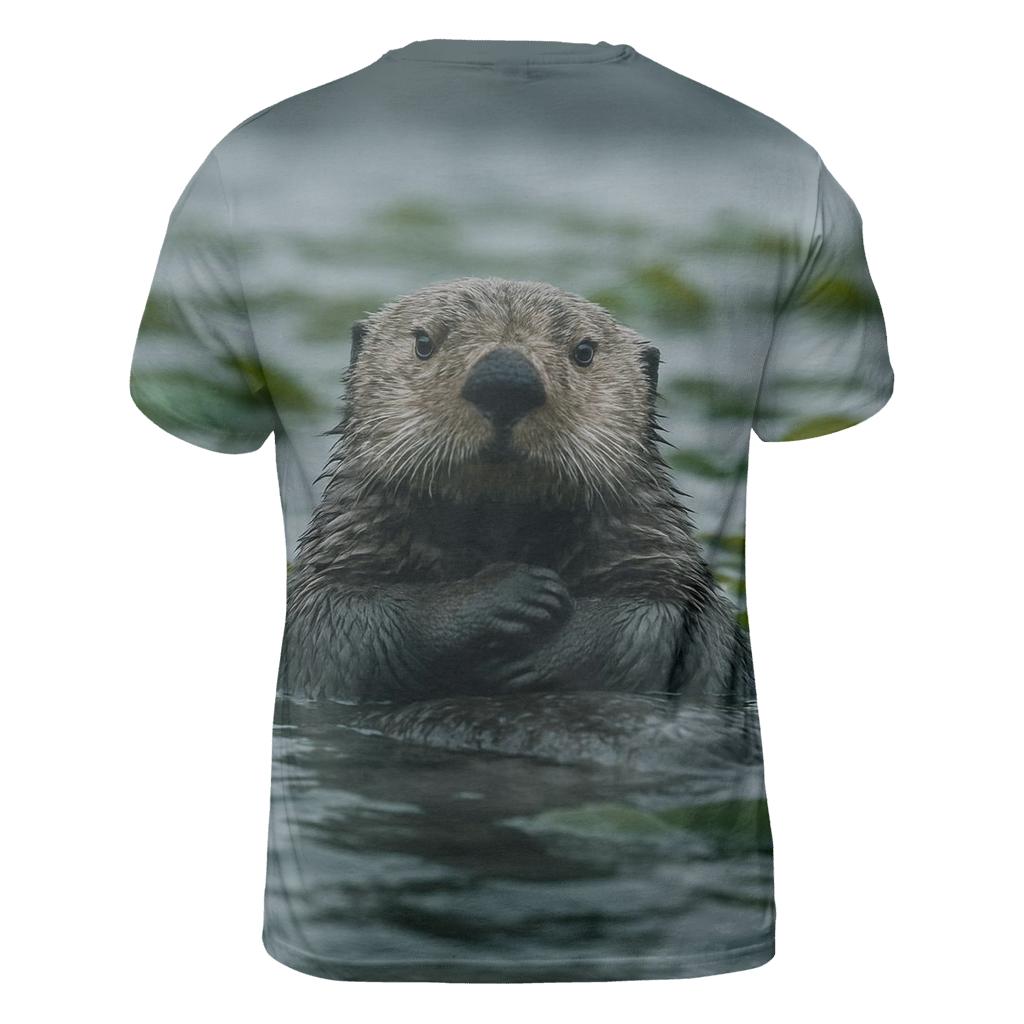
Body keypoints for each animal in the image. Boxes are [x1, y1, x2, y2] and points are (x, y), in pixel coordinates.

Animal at [279, 277, 752, 705]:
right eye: (424, 342)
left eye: (584, 351)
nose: (504, 377)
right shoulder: (337, 577)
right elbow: (341, 628)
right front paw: (506, 592)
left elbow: (658, 624)